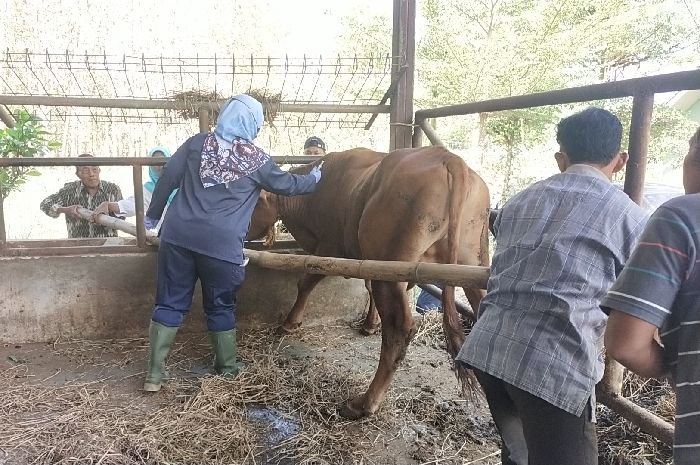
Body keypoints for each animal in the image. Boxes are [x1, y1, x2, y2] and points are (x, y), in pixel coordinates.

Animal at [249, 146, 490, 416]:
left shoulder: (329, 247)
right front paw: (370, 324)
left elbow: (305, 283)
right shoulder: (366, 258)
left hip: (393, 264)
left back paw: (364, 403)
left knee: (399, 329)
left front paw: (290, 323)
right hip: (473, 264)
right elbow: (367, 289)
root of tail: (448, 158)